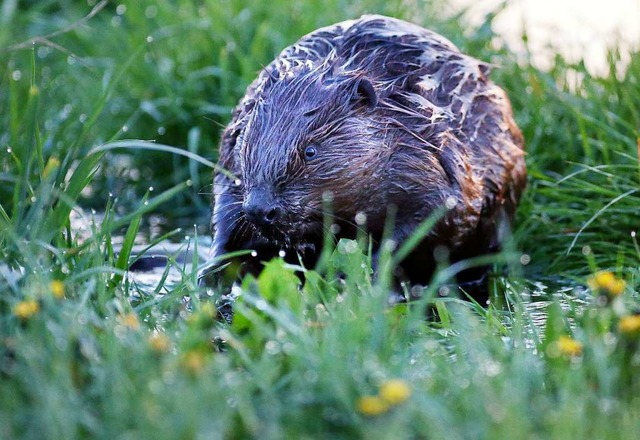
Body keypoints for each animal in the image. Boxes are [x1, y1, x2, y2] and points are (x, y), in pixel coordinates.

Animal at [199, 14, 524, 302]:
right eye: (249, 142)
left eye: (310, 151)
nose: (260, 209)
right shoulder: (232, 154)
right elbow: (227, 212)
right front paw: (211, 275)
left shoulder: (432, 160)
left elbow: (432, 218)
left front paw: (369, 281)